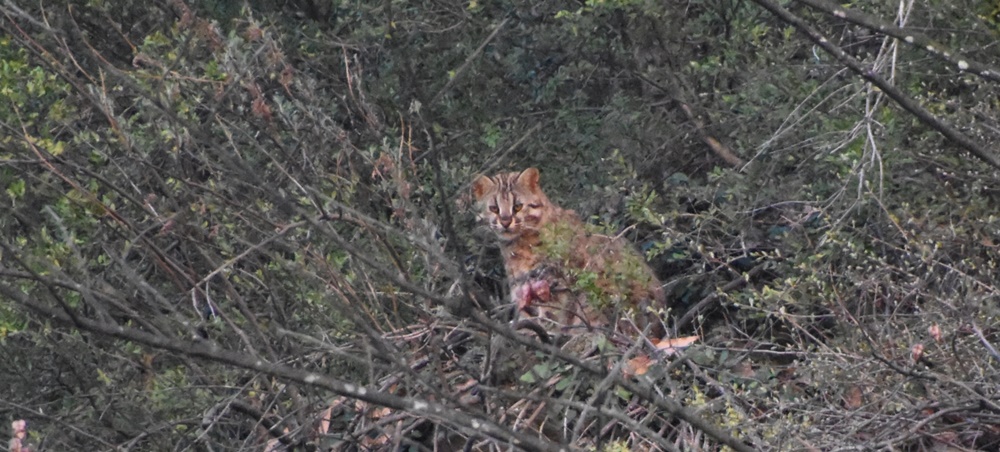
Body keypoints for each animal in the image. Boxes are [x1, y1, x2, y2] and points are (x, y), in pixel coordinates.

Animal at [472, 168, 668, 340]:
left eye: (518, 207)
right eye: (494, 208)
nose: (505, 222)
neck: (517, 246)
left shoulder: (554, 279)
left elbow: (551, 313)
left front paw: (545, 329)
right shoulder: (522, 283)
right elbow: (528, 313)